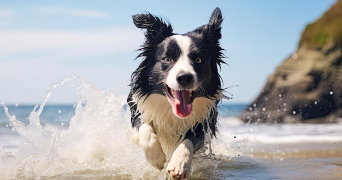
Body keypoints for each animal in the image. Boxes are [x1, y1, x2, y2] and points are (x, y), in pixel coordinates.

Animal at [127, 7, 226, 179]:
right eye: (167, 59)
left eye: (198, 60)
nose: (185, 77)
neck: (171, 111)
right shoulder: (137, 107)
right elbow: (144, 126)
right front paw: (156, 157)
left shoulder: (204, 122)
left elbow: (189, 140)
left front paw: (179, 164)